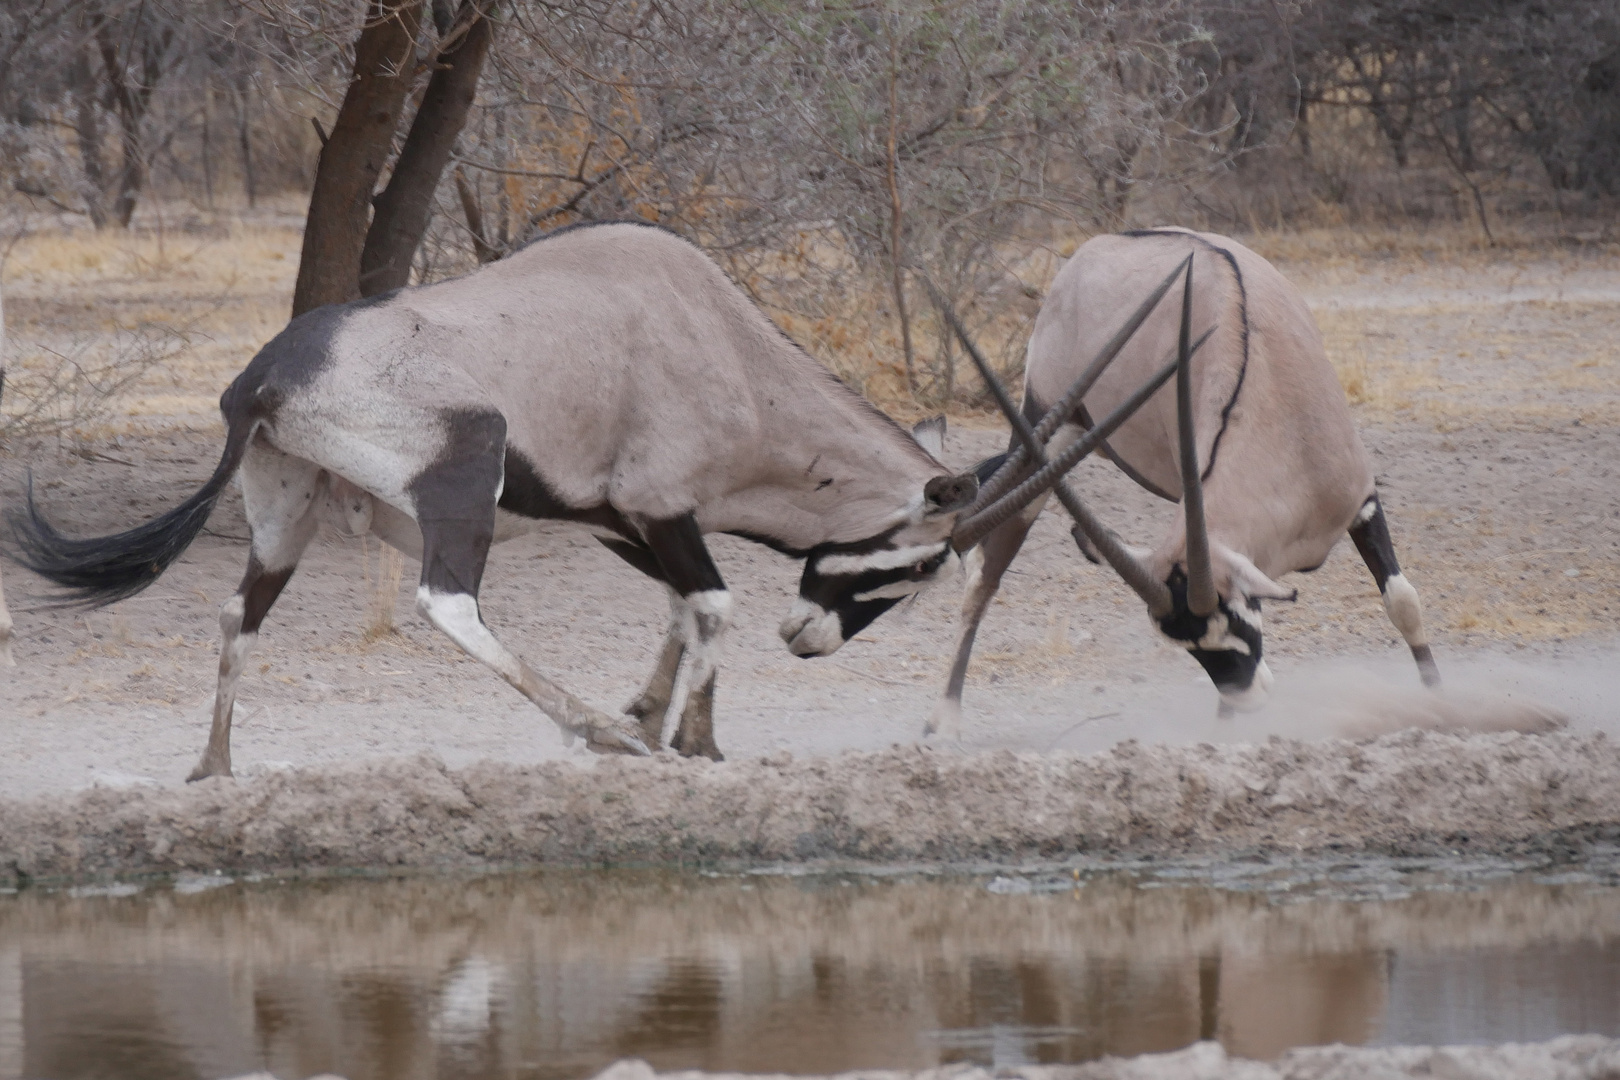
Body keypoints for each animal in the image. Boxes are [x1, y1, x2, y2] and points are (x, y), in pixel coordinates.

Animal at [9, 221, 972, 777]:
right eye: (917, 564)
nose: (808, 640)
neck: (731, 352)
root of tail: (263, 380)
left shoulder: (620, 520)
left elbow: (677, 604)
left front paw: (654, 715)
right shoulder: (660, 504)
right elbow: (713, 601)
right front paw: (685, 740)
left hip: (285, 516)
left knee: (237, 614)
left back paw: (215, 767)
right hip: (468, 466)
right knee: (448, 603)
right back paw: (594, 729)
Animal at [926, 226, 1445, 735]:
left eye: (1234, 620)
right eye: (1191, 648)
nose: (1248, 697)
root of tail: (1094, 248)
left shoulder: (1362, 504)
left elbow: (1402, 601)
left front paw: (1438, 699)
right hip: (1042, 432)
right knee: (985, 576)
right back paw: (944, 721)